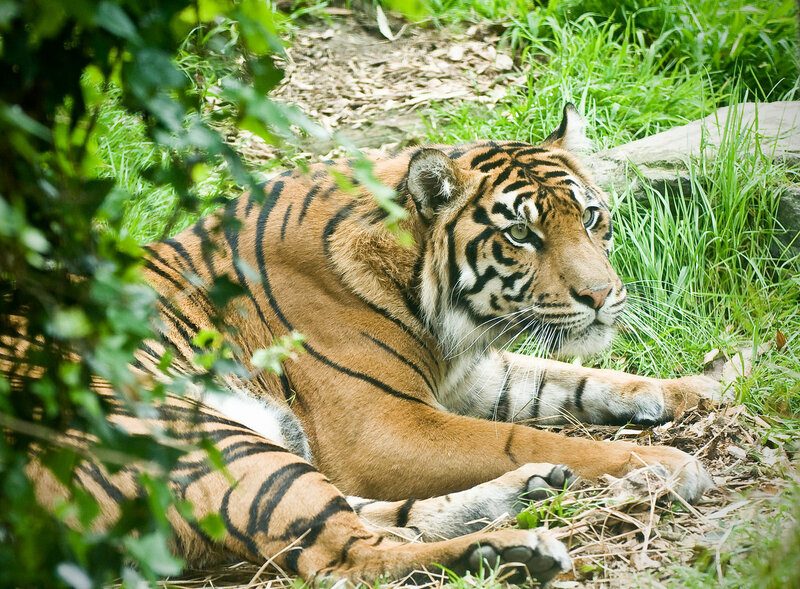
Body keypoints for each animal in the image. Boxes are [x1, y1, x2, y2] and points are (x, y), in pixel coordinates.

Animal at [8, 104, 724, 585]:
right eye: (521, 235)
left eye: (592, 217)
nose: (602, 295)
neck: (447, 321)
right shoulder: (384, 426)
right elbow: (530, 435)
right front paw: (665, 463)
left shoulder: (476, 377)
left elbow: (582, 381)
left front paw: (701, 389)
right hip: (201, 437)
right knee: (347, 557)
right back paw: (512, 550)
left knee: (369, 520)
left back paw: (528, 494)